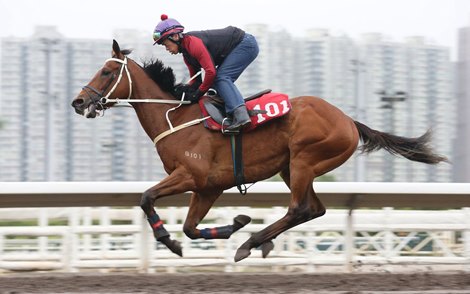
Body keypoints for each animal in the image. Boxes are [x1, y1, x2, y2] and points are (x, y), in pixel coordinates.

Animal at [70, 39, 448, 262]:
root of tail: (348, 120)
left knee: (299, 208)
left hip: (304, 159)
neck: (175, 116)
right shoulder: (208, 186)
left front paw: (169, 239)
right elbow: (191, 227)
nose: (79, 102)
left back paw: (250, 243)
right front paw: (232, 223)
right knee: (314, 209)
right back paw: (257, 240)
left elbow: (147, 197)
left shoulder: (190, 175)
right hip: (292, 168)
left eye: (107, 71)